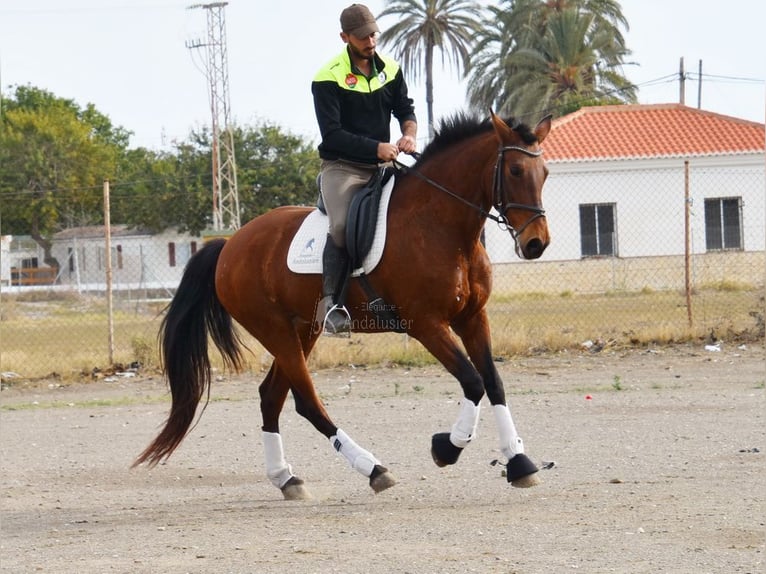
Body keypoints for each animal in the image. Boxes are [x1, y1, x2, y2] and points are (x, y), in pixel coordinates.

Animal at [134, 111, 552, 500]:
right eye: (515, 170)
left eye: (545, 172)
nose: (536, 243)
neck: (442, 227)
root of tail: (229, 244)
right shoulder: (427, 324)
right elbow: (472, 380)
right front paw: (447, 448)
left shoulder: (472, 317)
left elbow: (493, 382)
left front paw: (519, 462)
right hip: (276, 331)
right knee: (306, 402)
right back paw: (372, 468)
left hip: (303, 330)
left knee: (272, 397)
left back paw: (286, 478)